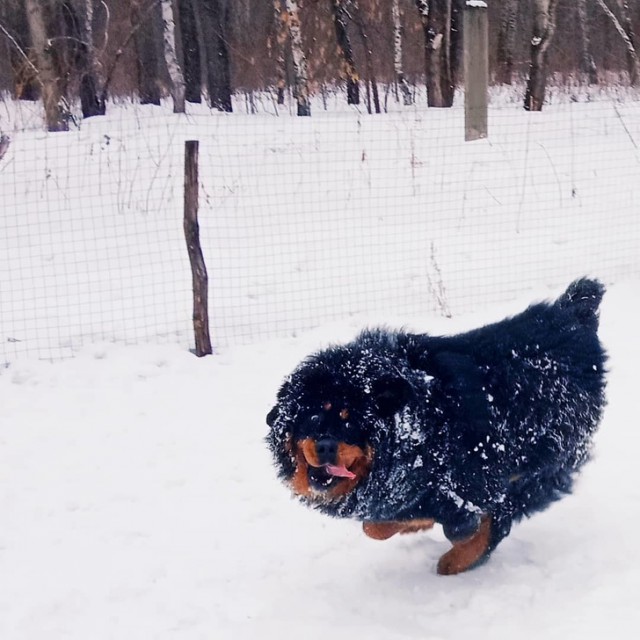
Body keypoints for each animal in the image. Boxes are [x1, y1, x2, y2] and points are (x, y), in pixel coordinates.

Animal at [268, 280, 608, 576]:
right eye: (313, 417)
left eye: (350, 418)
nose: (325, 445)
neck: (420, 428)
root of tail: (572, 316)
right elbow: (375, 526)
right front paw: (414, 523)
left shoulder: (471, 475)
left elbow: (467, 520)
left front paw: (460, 543)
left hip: (548, 453)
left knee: (520, 497)